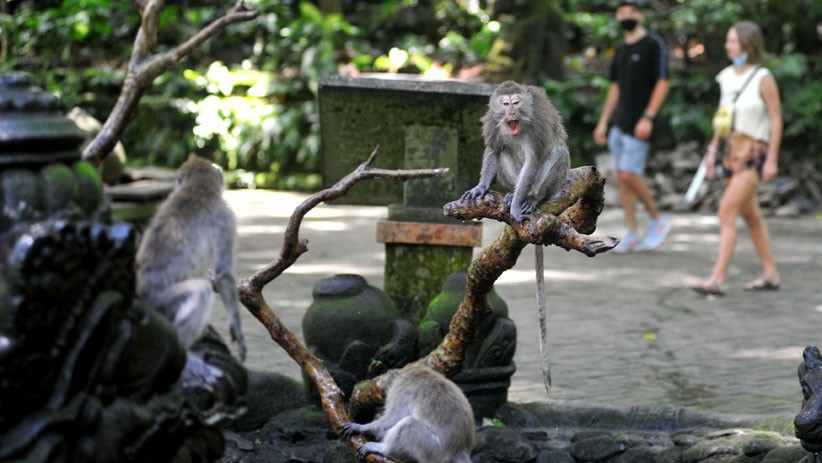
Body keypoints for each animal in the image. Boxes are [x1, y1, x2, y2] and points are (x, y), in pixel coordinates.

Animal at [136, 154, 246, 384]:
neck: (197, 187)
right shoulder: (226, 217)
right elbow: (223, 272)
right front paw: (237, 329)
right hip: (162, 306)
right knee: (201, 290)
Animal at [341, 363, 476, 463]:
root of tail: (459, 450)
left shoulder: (402, 389)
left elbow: (394, 418)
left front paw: (361, 427)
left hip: (434, 452)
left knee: (408, 424)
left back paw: (384, 450)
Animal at [461, 81, 571, 393]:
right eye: (505, 103)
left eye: (516, 102)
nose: (510, 111)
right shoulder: (493, 123)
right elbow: (493, 149)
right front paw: (482, 186)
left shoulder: (537, 127)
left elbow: (534, 159)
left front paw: (519, 202)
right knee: (503, 153)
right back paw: (511, 193)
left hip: (555, 182)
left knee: (556, 153)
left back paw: (530, 199)